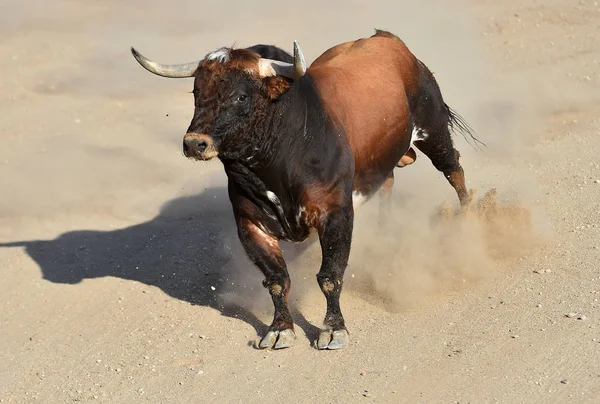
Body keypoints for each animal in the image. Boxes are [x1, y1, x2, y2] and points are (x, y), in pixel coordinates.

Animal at [132, 30, 482, 348]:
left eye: (241, 96)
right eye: (196, 91)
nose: (194, 143)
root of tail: (388, 40)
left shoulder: (336, 214)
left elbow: (329, 276)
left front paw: (333, 329)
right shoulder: (250, 225)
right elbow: (277, 280)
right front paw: (280, 329)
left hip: (433, 128)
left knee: (453, 169)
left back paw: (468, 219)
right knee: (388, 181)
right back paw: (387, 231)